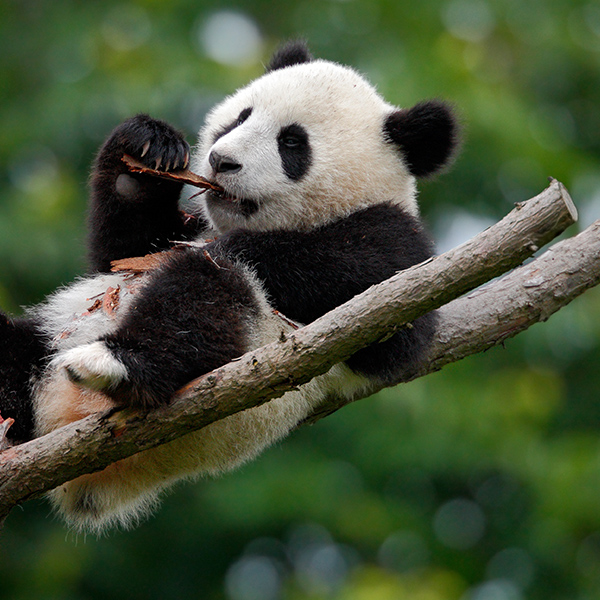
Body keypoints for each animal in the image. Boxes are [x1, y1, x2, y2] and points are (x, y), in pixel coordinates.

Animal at [0, 39, 458, 532]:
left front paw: (240, 247)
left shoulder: (398, 247)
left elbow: (392, 321)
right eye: (241, 117)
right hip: (43, 344)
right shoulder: (171, 232)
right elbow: (122, 250)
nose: (221, 161)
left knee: (203, 298)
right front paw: (145, 149)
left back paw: (120, 362)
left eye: (291, 142)